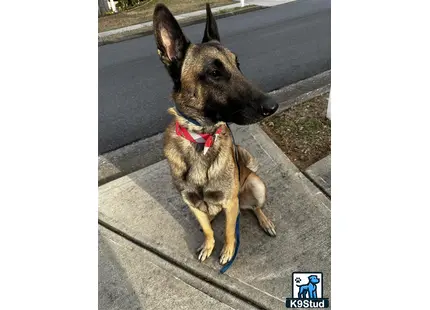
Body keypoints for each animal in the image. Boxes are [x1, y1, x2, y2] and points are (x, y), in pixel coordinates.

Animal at [152, 2, 278, 266]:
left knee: (254, 208)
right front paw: (209, 244)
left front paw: (228, 251)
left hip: (255, 186)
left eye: (238, 66)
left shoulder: (230, 202)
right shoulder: (192, 204)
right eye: (214, 73)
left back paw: (265, 221)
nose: (273, 106)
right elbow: (210, 230)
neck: (201, 139)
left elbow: (230, 230)